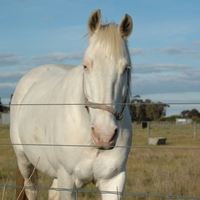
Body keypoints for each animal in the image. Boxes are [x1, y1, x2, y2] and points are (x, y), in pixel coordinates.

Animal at [10, 9, 134, 200]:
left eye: (126, 68)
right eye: (86, 66)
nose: (104, 135)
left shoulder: (114, 181)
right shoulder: (68, 181)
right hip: (24, 160)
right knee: (31, 189)